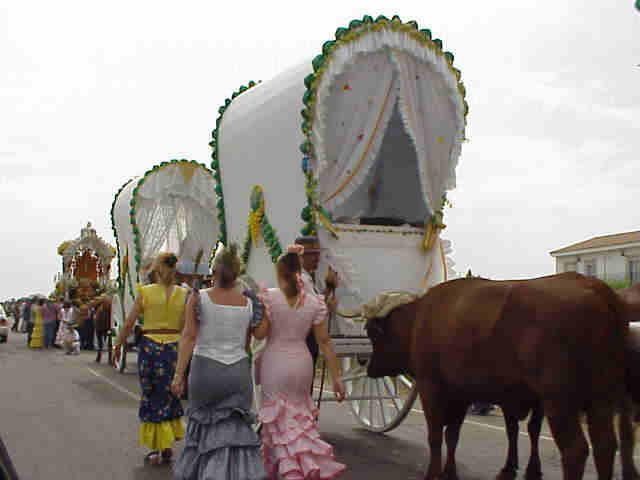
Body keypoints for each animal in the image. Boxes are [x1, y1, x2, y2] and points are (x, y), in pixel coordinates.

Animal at [364, 273, 633, 480]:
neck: (420, 318)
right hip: (601, 398)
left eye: (373, 335)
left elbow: (435, 435)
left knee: (575, 450)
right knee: (605, 445)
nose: (367, 366)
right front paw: (450, 472)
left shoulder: (430, 386)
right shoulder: (462, 393)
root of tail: (593, 285)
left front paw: (433, 474)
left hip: (559, 400)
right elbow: (453, 435)